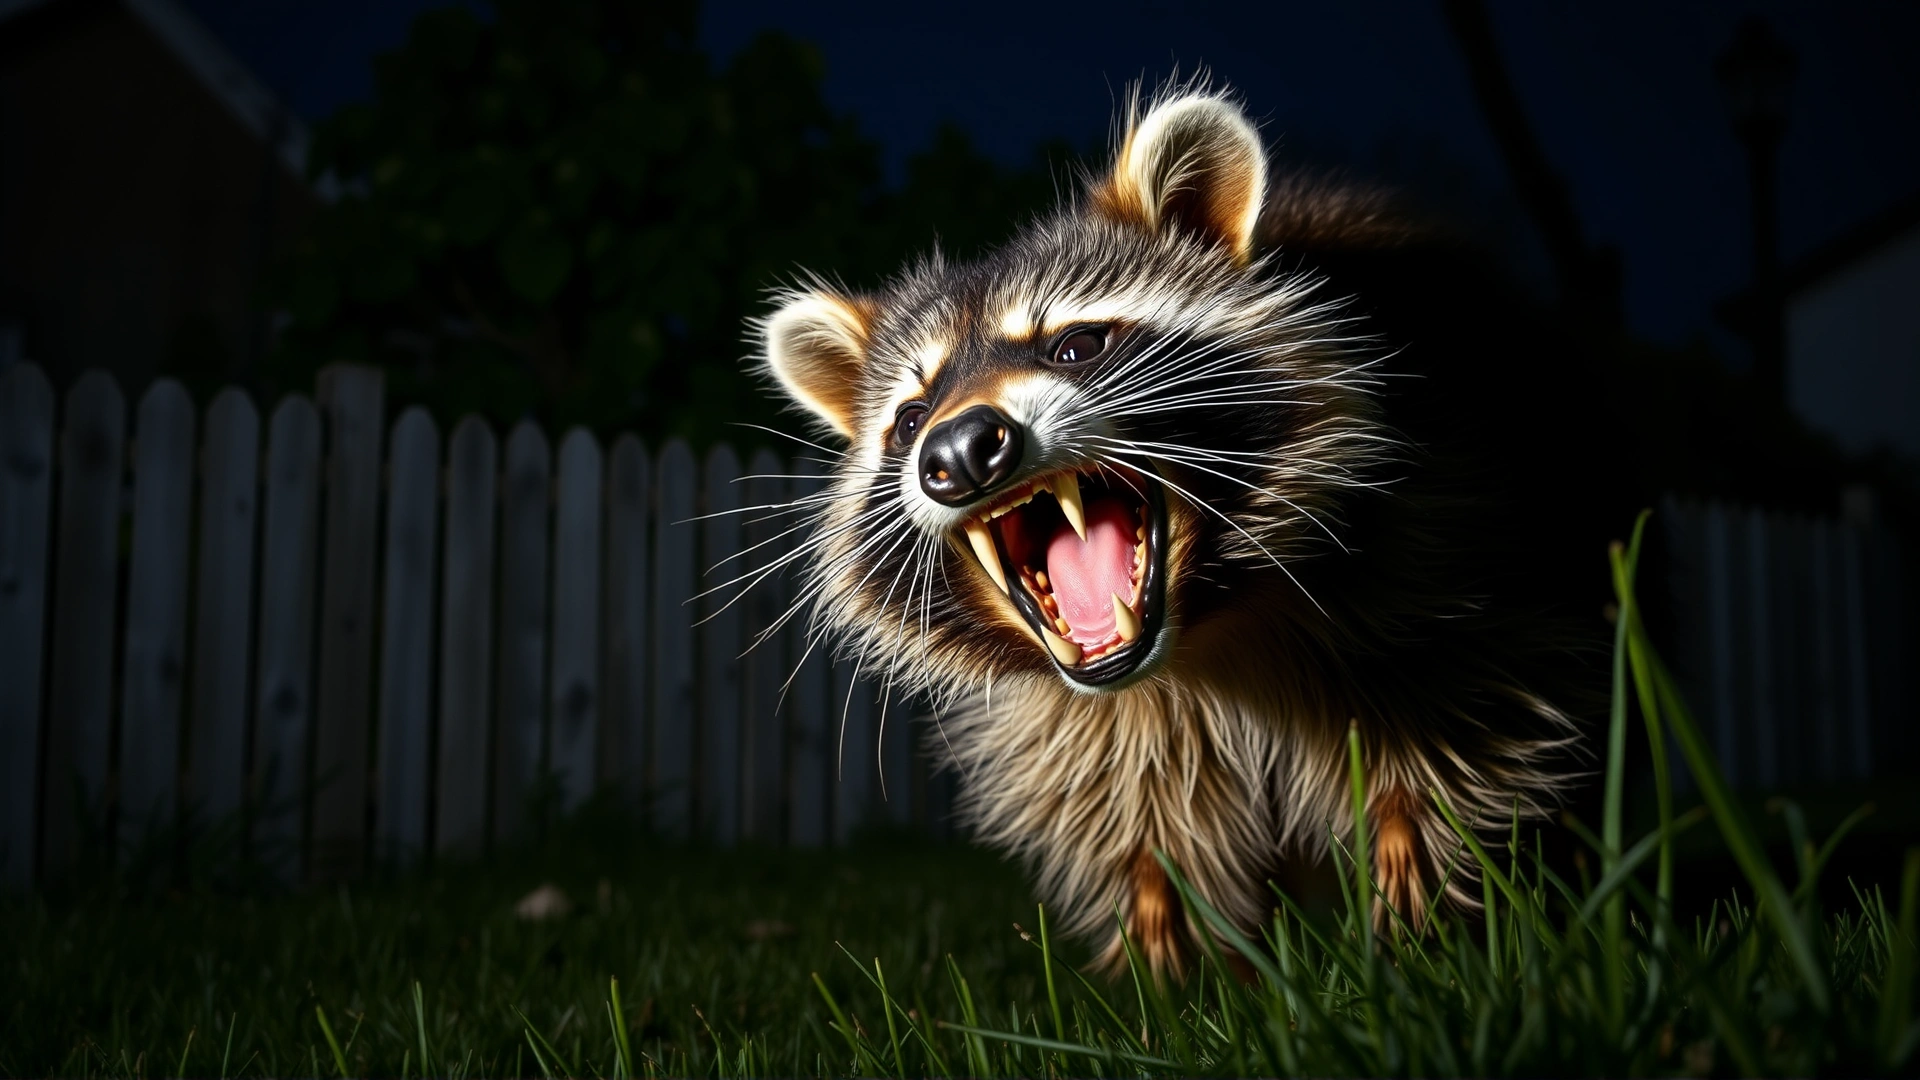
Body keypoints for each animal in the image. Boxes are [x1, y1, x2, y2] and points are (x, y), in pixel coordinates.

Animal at [752, 85, 1606, 977]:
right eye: (912, 417)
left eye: (1076, 345)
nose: (958, 448)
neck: (1202, 634)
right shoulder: (1088, 729)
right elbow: (1149, 837)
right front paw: (1175, 974)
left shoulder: (1446, 552)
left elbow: (1445, 761)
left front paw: (1427, 936)